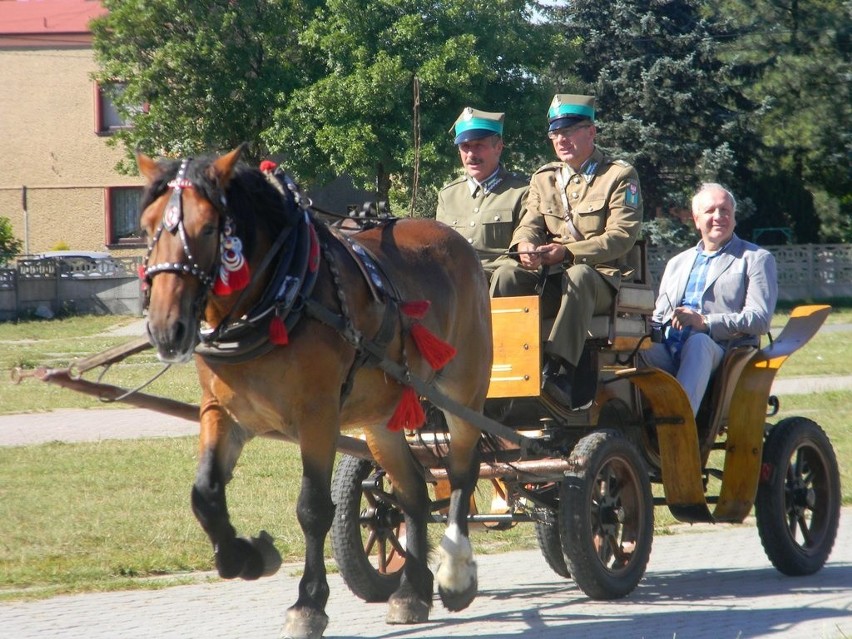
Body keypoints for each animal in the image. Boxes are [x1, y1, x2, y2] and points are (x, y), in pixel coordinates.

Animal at [138, 146, 492, 639]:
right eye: (147, 226)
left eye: (208, 228)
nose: (165, 328)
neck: (278, 296)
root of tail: (458, 242)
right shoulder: (224, 412)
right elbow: (205, 494)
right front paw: (249, 556)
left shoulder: (318, 415)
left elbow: (313, 509)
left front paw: (308, 603)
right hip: (381, 418)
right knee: (413, 492)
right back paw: (412, 591)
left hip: (461, 391)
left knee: (461, 472)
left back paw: (455, 573)